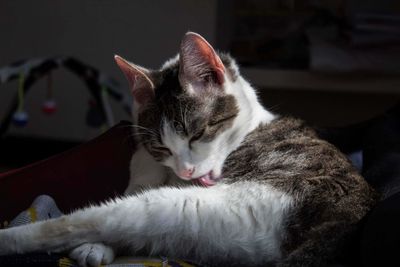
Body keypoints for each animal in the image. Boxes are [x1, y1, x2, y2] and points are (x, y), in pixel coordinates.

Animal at [0, 32, 378, 266]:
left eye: (198, 134)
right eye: (161, 146)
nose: (185, 170)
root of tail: (340, 226)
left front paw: (94, 247)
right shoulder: (140, 171)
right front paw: (96, 249)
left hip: (187, 207)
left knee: (75, 223)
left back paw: (9, 237)